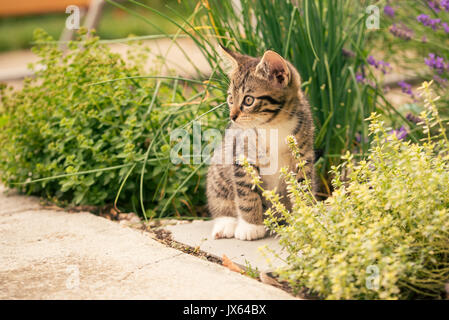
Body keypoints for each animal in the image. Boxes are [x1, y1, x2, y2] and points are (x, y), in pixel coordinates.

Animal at [207, 47, 316, 240]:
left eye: (248, 100)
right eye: (230, 99)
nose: (232, 116)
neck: (273, 125)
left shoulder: (303, 155)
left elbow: (302, 185)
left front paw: (304, 216)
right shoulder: (241, 153)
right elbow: (246, 191)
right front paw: (250, 226)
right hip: (219, 168)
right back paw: (226, 223)